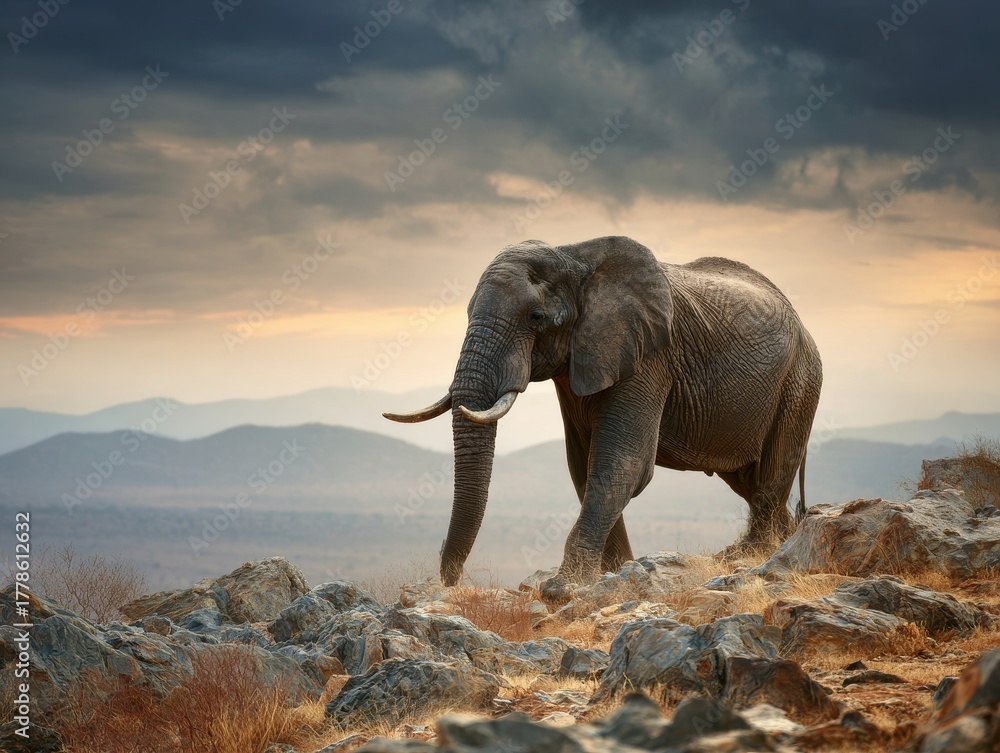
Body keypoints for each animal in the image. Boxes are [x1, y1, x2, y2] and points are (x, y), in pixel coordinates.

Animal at [384, 236, 822, 603]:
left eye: (535, 316)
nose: (450, 584)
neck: (574, 256)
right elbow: (582, 465)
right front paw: (618, 572)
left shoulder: (647, 357)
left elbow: (621, 464)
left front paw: (562, 589)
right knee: (749, 480)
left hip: (800, 381)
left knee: (770, 476)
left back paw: (754, 555)